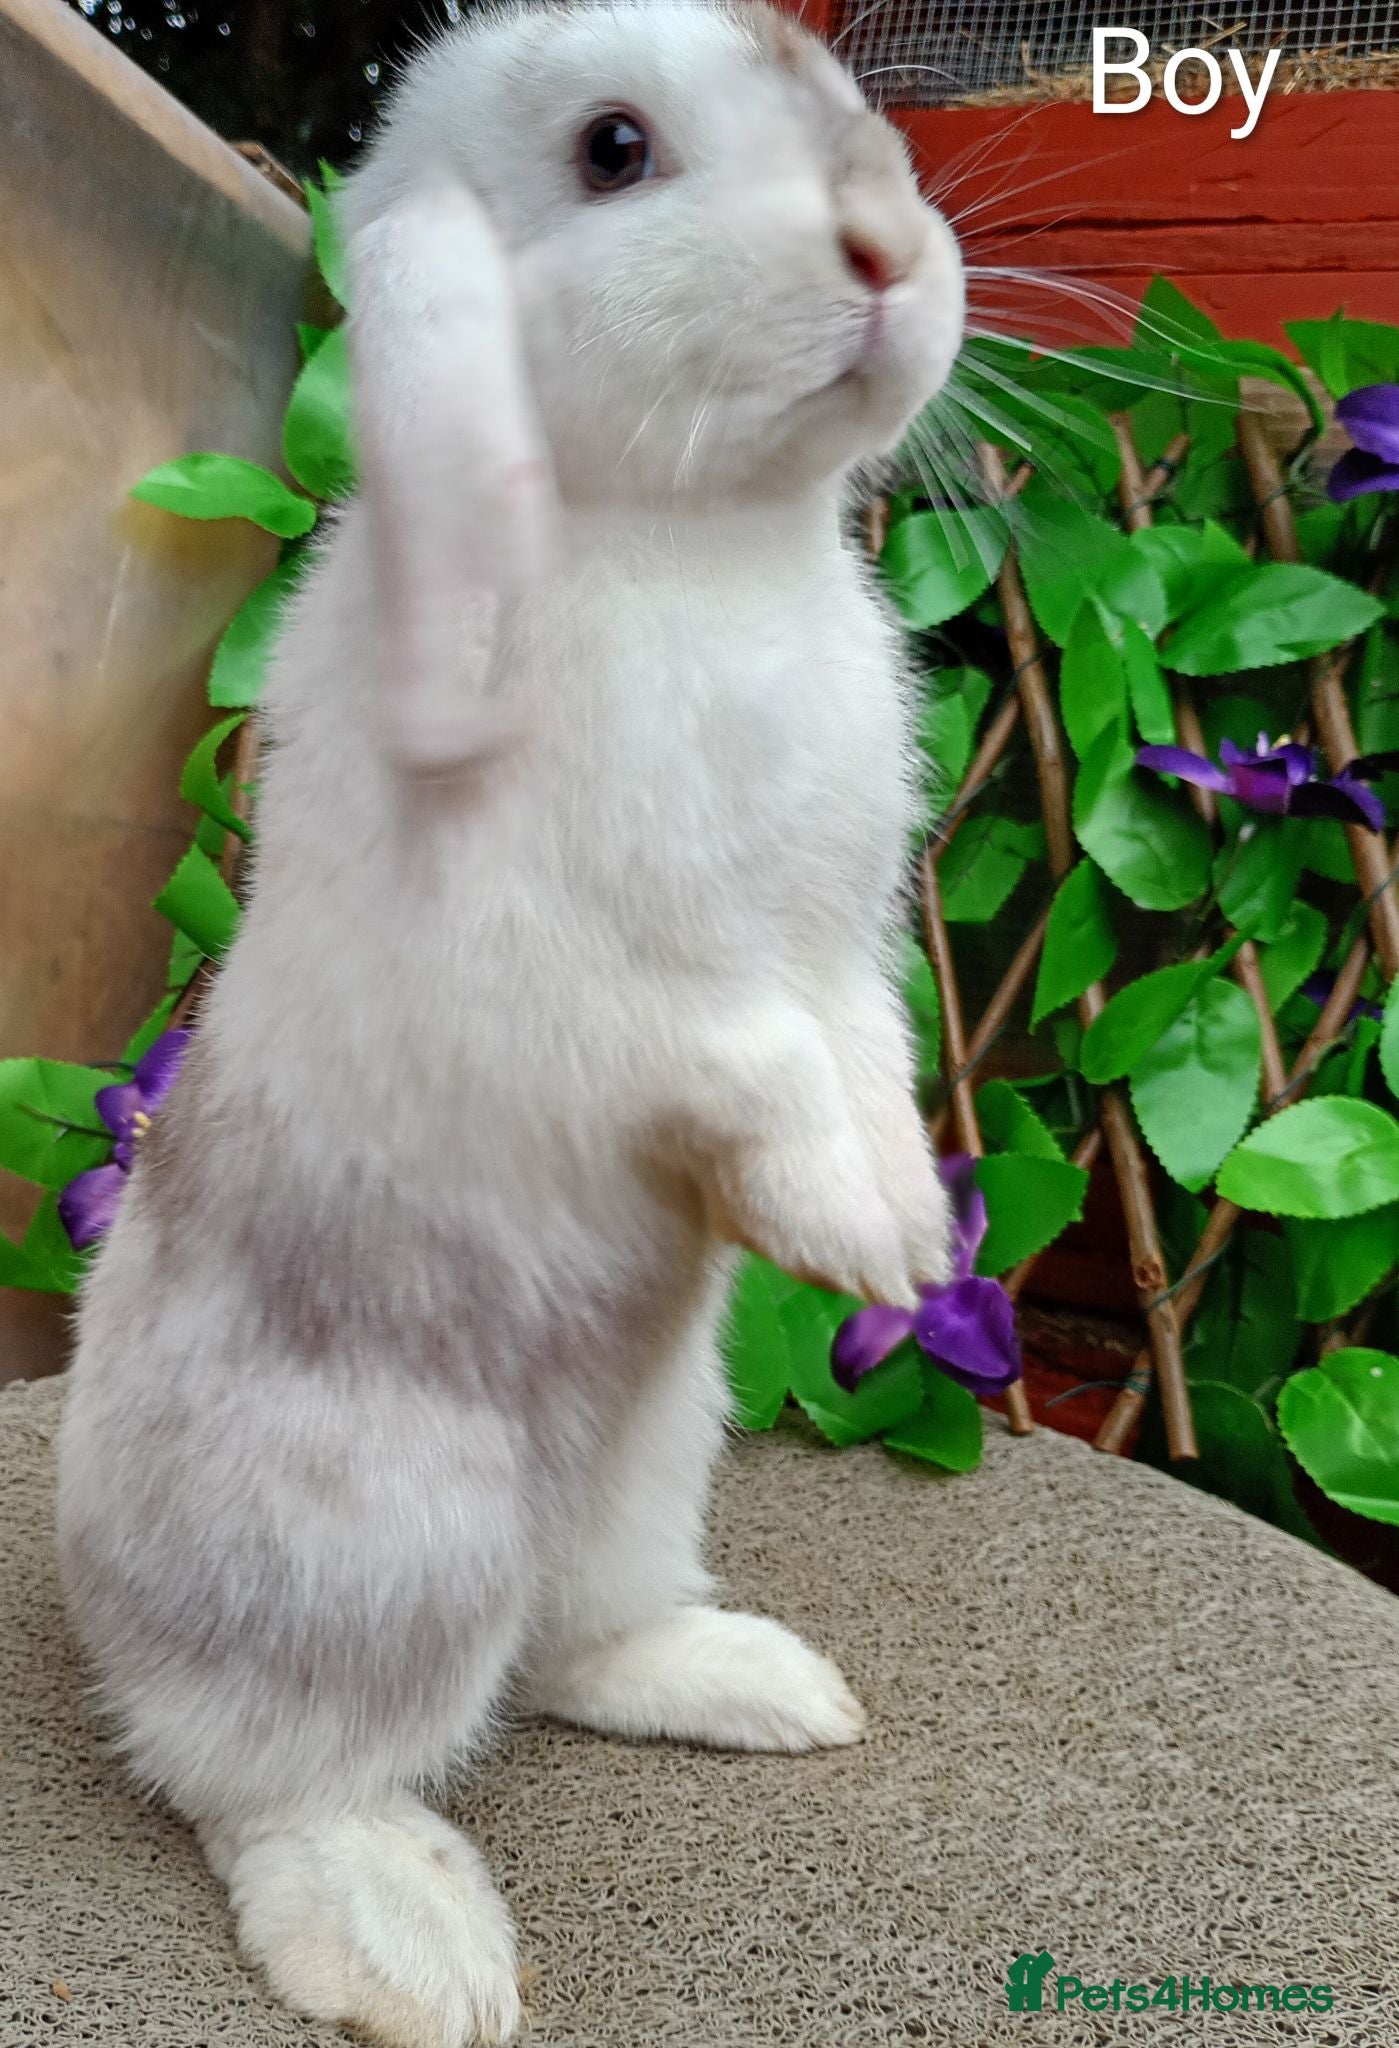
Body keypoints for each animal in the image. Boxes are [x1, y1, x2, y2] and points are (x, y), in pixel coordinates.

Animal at [55, 3, 965, 2043]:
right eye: (614, 149)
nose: (887, 246)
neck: (682, 535)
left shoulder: (843, 953)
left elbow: (860, 1061)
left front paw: (910, 1227)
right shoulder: (592, 976)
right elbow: (743, 1063)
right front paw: (859, 1237)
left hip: (654, 1446)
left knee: (561, 1644)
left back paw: (757, 1686)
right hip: (368, 1542)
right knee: (264, 1775)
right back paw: (412, 1945)